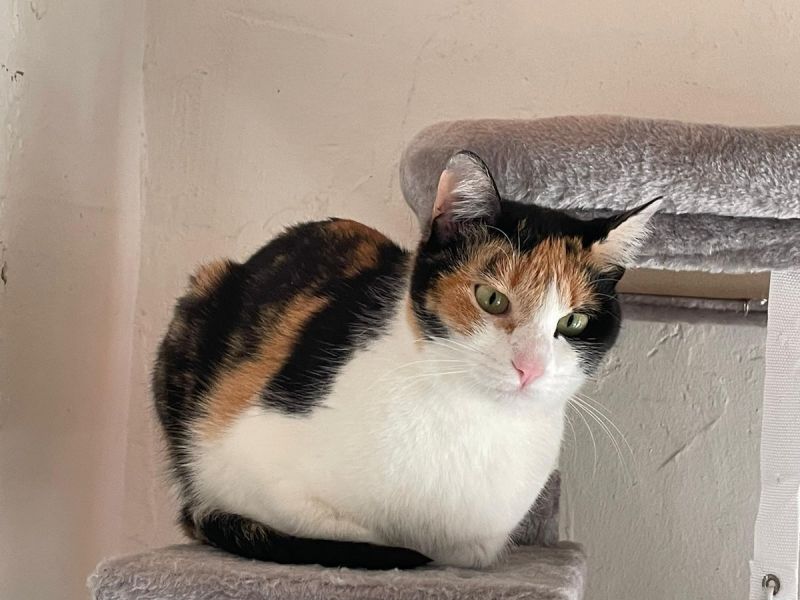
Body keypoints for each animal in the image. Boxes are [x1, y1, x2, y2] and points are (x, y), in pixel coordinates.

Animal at [153, 150, 661, 570]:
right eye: (491, 298)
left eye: (573, 322)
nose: (530, 367)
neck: (472, 422)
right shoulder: (242, 462)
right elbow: (370, 536)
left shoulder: (481, 543)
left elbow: (462, 549)